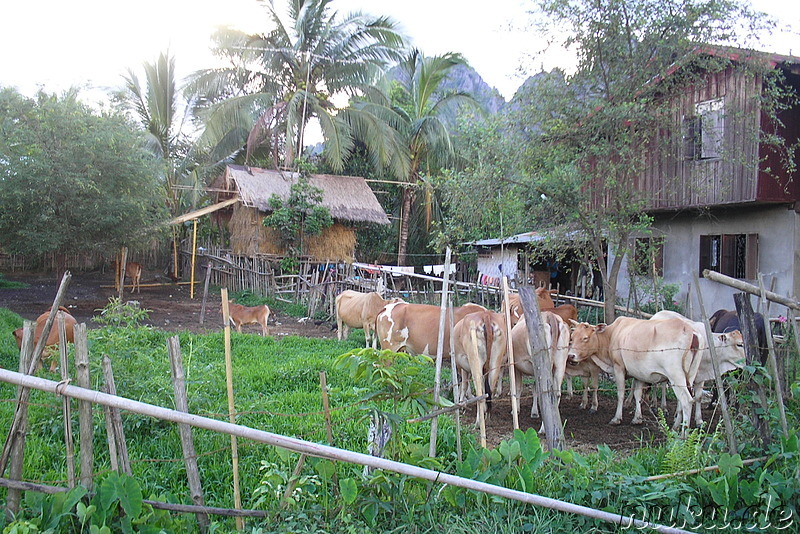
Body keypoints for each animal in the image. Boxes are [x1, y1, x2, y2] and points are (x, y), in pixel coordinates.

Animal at [564, 316, 700, 434]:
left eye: (585, 338)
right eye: (572, 337)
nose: (570, 356)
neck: (612, 335)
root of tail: (689, 330)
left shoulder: (618, 368)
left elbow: (621, 394)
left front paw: (617, 418)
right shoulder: (638, 373)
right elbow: (637, 395)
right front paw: (637, 418)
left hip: (676, 376)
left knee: (687, 400)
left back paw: (683, 434)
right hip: (689, 377)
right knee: (681, 402)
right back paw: (675, 427)